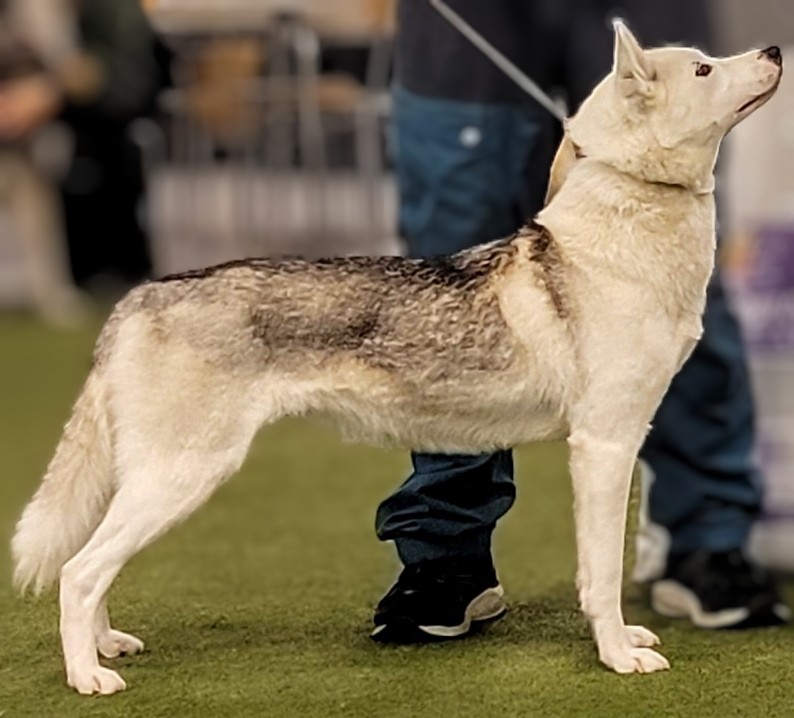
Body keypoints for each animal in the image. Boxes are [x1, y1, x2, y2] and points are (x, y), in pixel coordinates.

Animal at [12, 23, 780, 696]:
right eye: (704, 68)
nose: (775, 50)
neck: (627, 232)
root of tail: (139, 296)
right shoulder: (605, 446)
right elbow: (604, 575)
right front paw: (618, 655)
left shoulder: (623, 440)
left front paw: (628, 641)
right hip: (181, 476)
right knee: (79, 572)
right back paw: (88, 677)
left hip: (150, 481)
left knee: (92, 569)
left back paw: (105, 647)